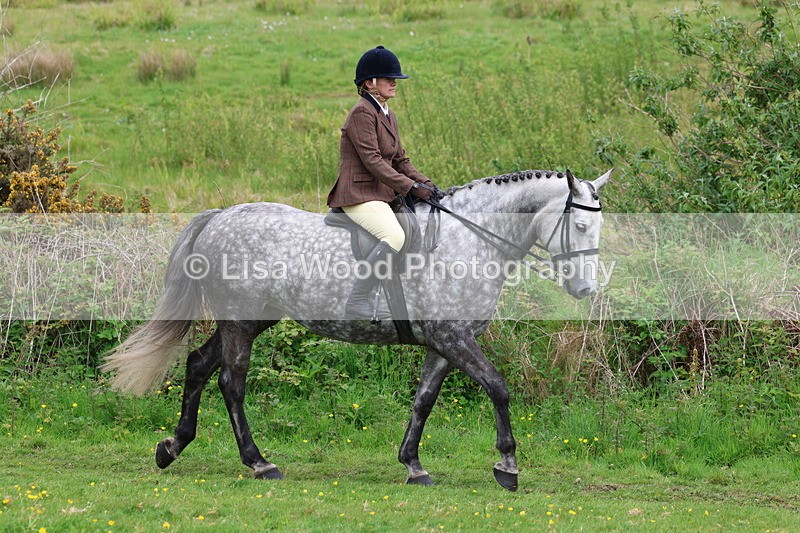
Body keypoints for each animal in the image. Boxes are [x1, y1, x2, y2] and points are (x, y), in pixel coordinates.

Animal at [102, 168, 612, 491]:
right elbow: (499, 388)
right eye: (580, 226)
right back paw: (259, 462)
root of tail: (221, 216)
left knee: (198, 365)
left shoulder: (445, 344)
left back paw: (172, 447)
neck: (469, 238)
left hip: (250, 319)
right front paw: (507, 465)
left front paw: (413, 465)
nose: (585, 288)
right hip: (241, 319)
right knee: (231, 381)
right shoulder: (453, 337)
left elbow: (424, 400)